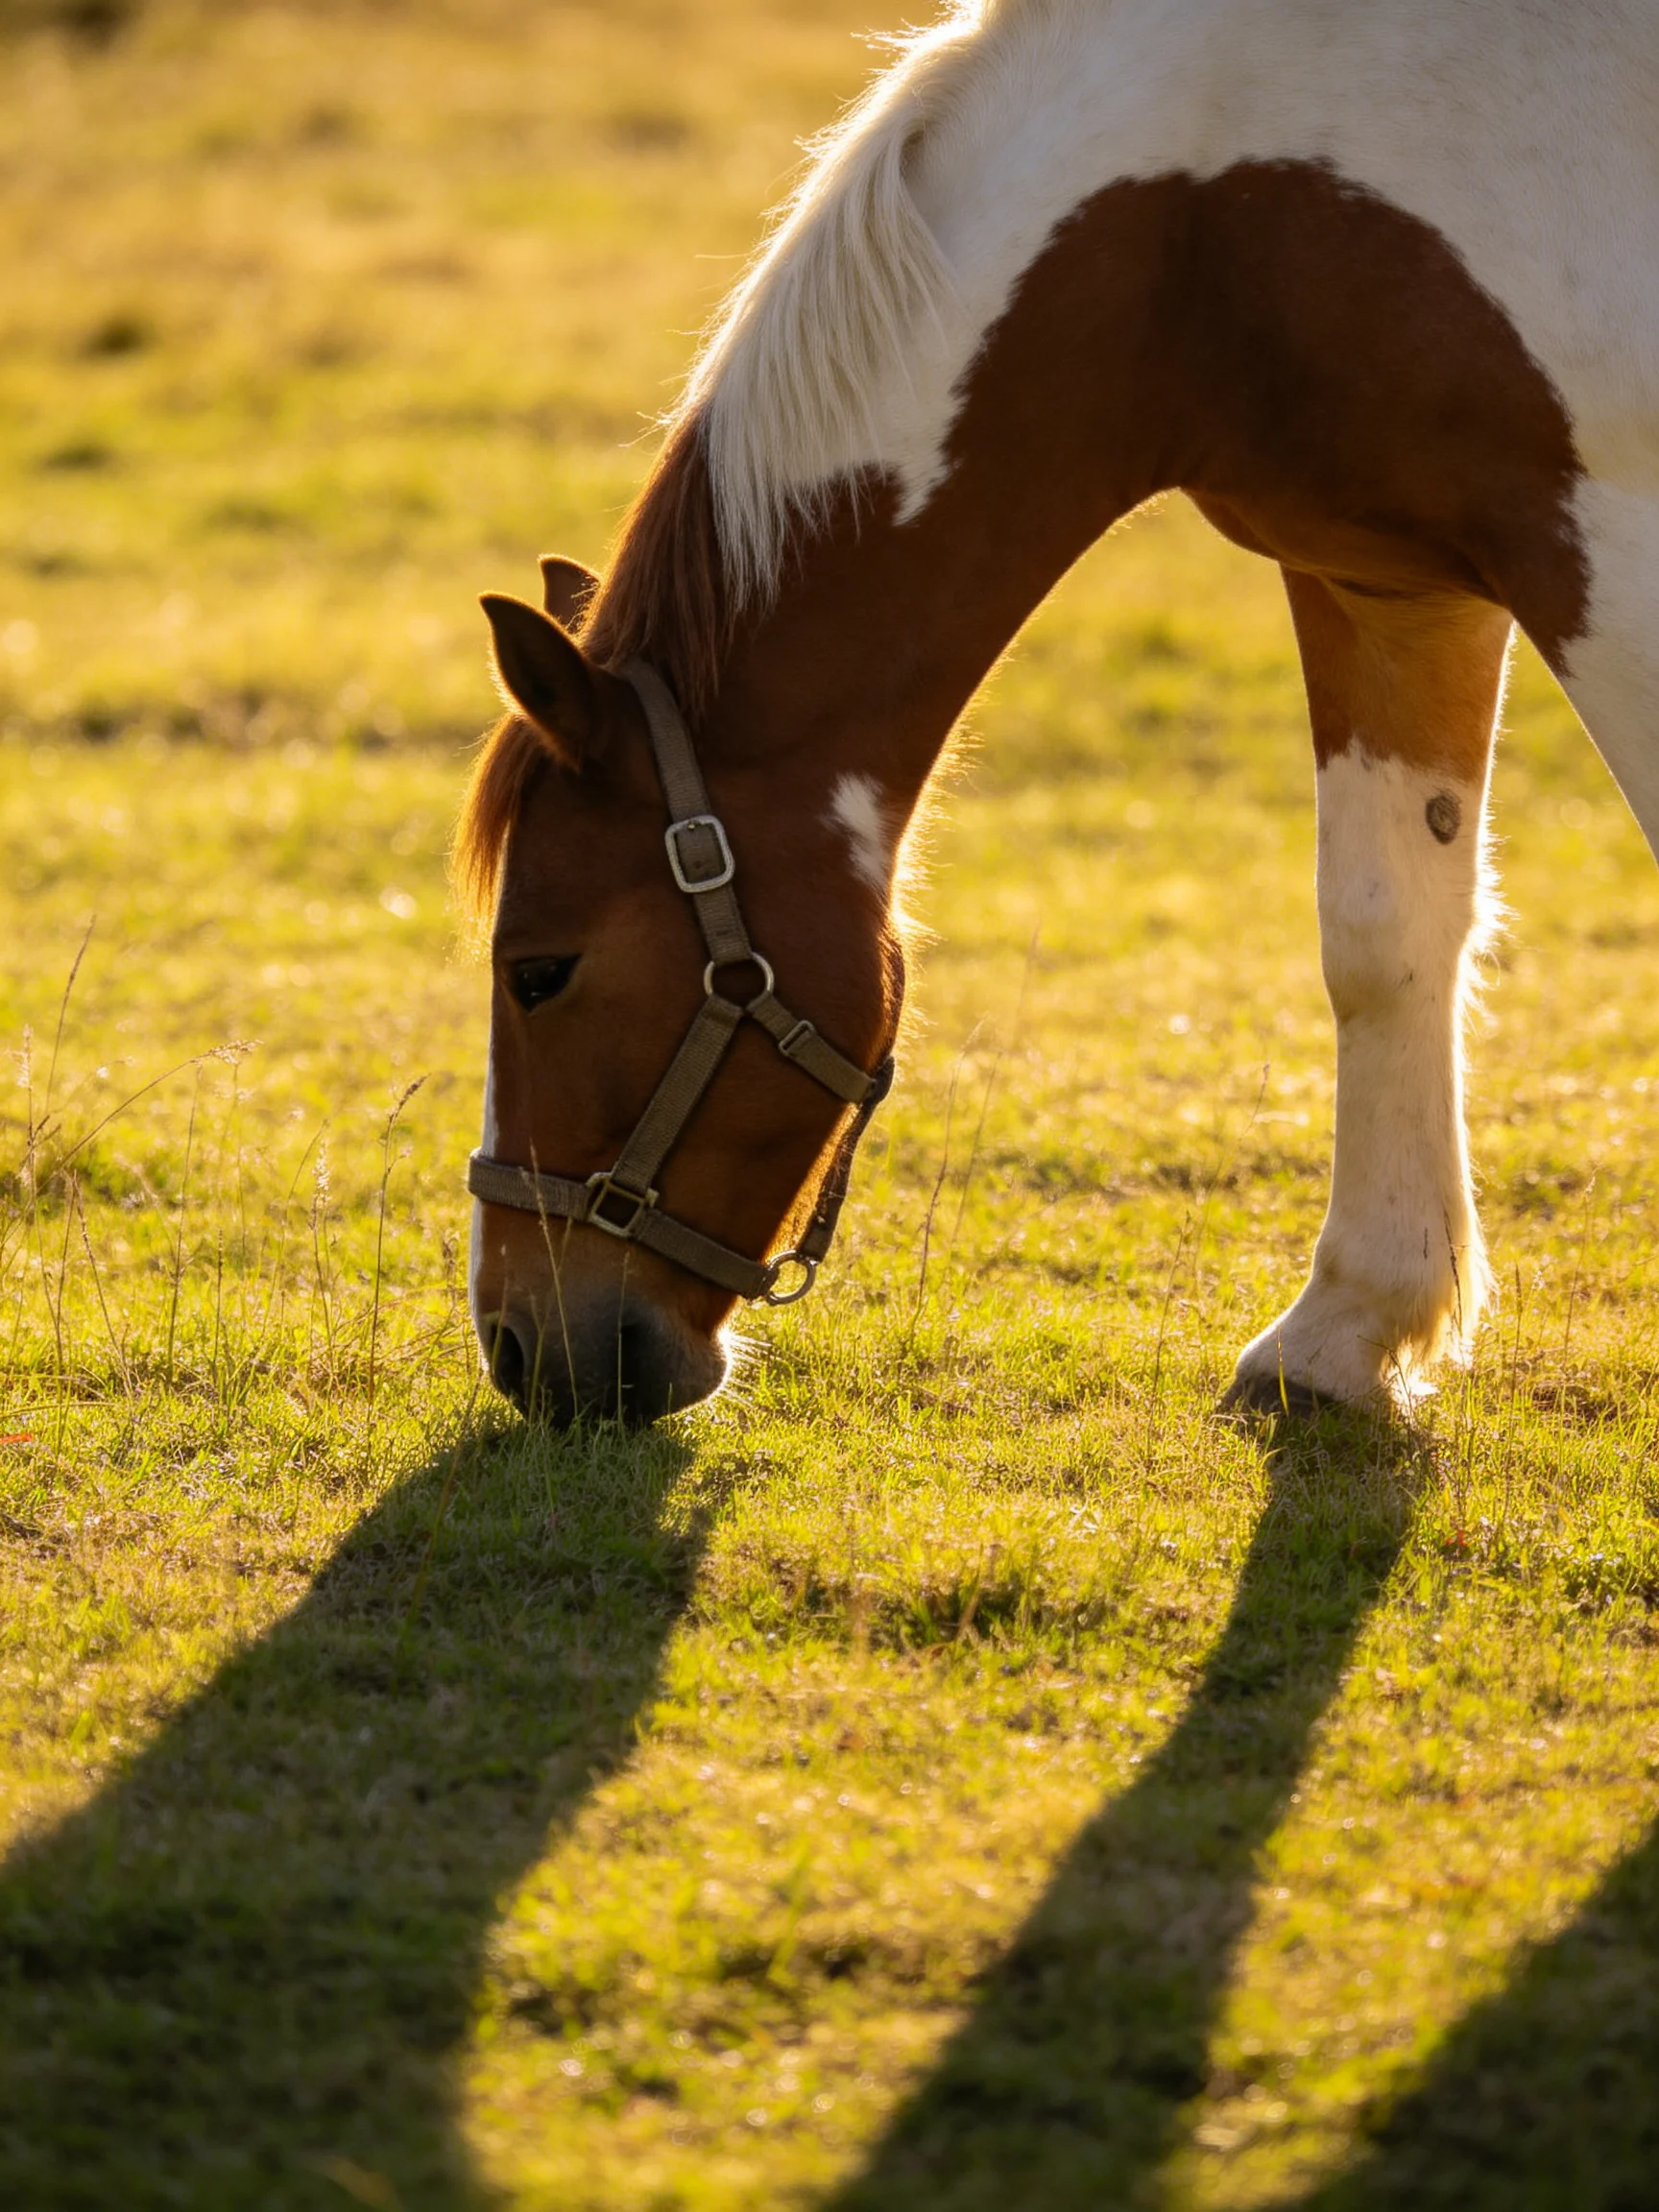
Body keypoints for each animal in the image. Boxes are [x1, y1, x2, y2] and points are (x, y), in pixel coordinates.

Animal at [456, 0, 1659, 1424]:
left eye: (539, 972)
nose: (526, 1347)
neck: (1205, 226)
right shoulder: (1386, 584)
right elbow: (1383, 936)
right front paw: (1347, 1332)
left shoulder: (1607, 558)